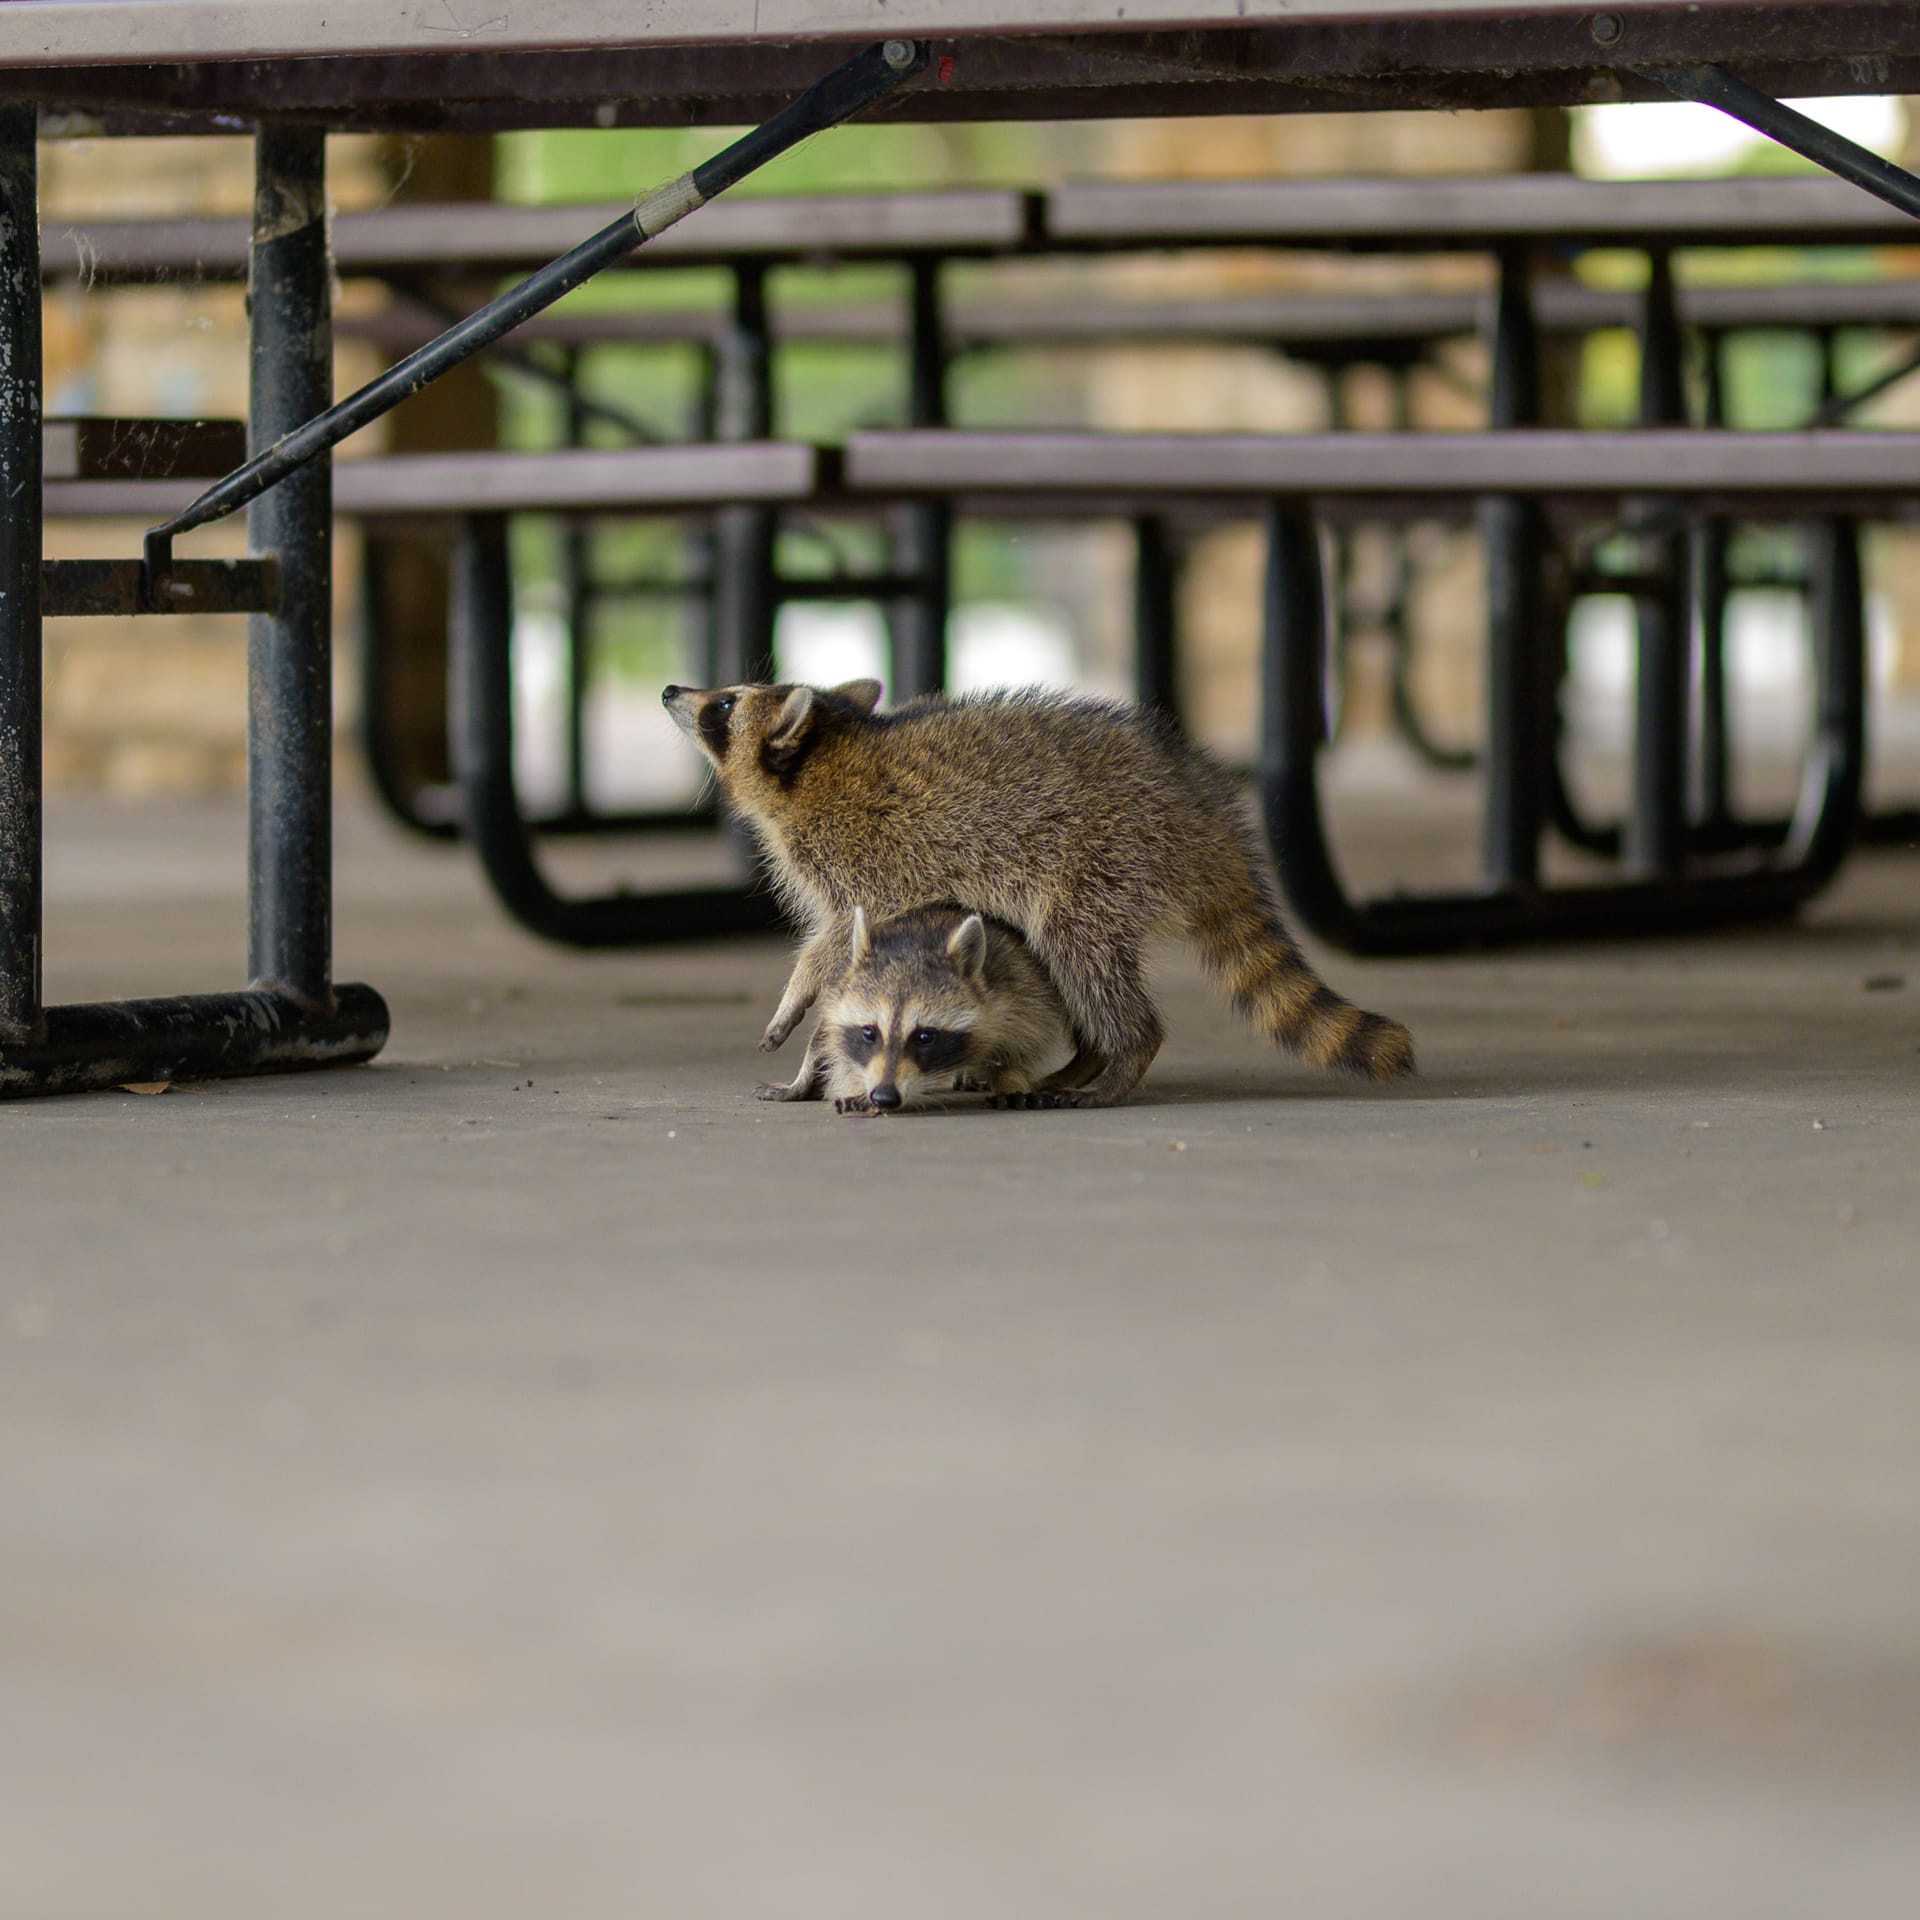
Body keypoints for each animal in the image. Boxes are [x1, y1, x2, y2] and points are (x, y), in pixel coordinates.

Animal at [668, 679, 1420, 1113]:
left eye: (726, 703)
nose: (675, 688)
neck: (820, 760)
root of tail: (1202, 813)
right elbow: (848, 970)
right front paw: (815, 1068)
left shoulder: (868, 859)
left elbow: (832, 949)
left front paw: (796, 1006)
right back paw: (1087, 1054)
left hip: (1105, 858)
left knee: (1078, 952)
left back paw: (1122, 1053)